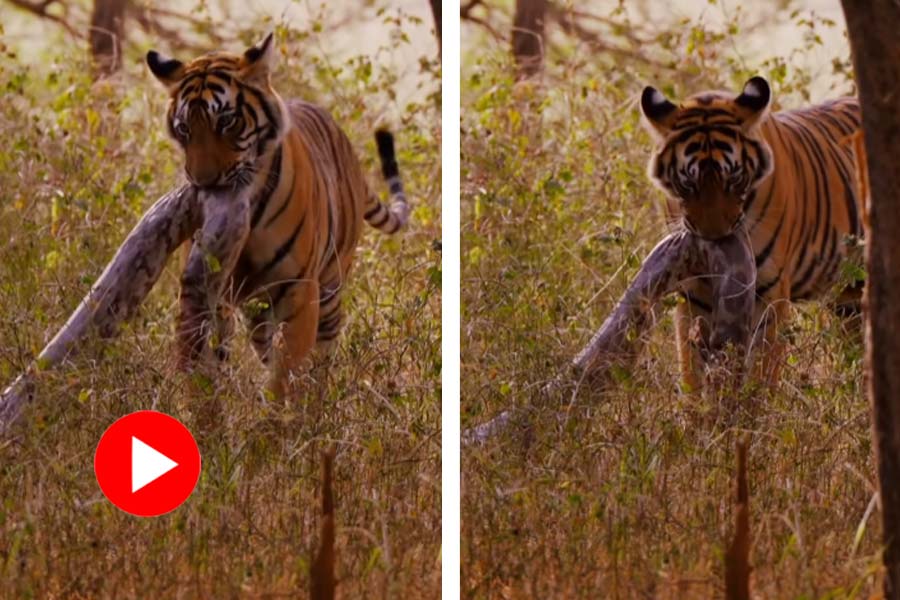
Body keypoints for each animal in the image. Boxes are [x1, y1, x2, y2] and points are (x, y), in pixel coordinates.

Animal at [145, 32, 410, 398]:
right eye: (184, 128)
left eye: (226, 121)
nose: (203, 182)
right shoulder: (215, 293)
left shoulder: (299, 294)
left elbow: (284, 378)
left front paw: (277, 409)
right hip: (259, 311)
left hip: (330, 289)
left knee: (321, 362)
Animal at [639, 76, 863, 390]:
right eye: (688, 183)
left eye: (734, 179)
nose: (714, 236)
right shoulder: (693, 294)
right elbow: (691, 369)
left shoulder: (770, 293)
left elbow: (761, 373)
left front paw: (752, 403)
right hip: (847, 299)